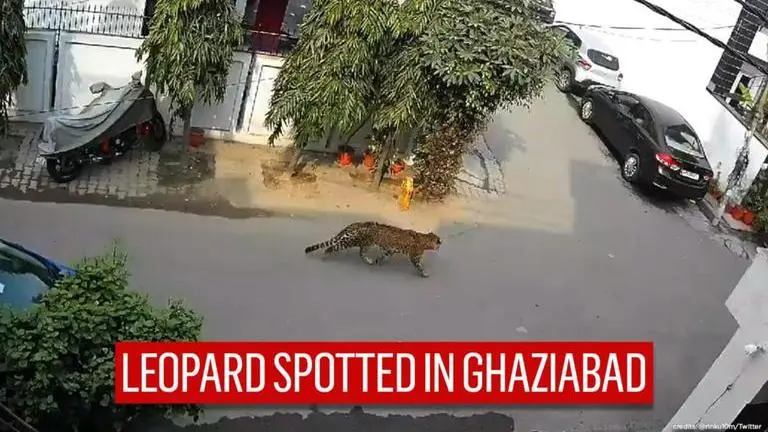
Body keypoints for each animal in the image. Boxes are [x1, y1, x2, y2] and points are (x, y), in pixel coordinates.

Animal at [304, 221, 442, 277]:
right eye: (439, 242)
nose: (441, 244)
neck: (425, 239)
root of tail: (359, 223)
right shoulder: (415, 257)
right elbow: (419, 266)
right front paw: (425, 273)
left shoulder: (389, 250)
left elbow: (384, 255)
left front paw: (378, 261)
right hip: (351, 241)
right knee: (332, 247)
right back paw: (325, 256)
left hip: (365, 243)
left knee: (361, 253)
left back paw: (369, 261)